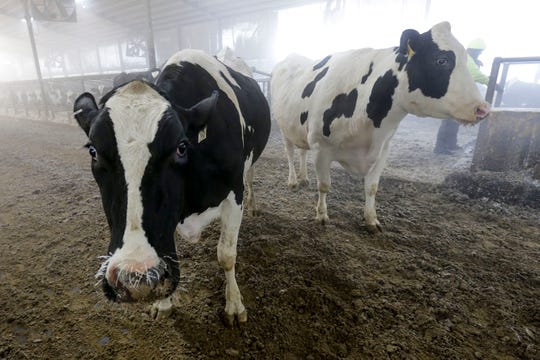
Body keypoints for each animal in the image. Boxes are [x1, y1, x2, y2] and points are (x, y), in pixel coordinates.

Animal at [272, 21, 488, 232]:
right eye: (441, 61)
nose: (482, 109)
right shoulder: (321, 147)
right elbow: (324, 185)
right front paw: (322, 216)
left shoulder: (383, 150)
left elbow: (372, 187)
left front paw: (371, 219)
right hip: (284, 127)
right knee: (290, 152)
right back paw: (293, 181)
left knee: (301, 151)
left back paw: (303, 178)